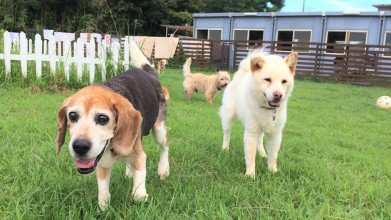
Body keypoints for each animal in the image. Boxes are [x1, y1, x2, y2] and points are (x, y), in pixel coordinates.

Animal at [55, 40, 170, 211]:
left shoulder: (139, 156)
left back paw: (163, 170)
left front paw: (140, 195)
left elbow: (138, 193)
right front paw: (104, 207)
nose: (80, 146)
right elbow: (103, 192)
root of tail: (150, 74)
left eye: (103, 118)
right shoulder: (101, 162)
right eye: (72, 115)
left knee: (164, 146)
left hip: (159, 128)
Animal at [219, 49, 298, 177]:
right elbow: (251, 157)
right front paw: (250, 174)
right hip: (228, 116)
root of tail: (241, 73)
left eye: (284, 81)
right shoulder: (251, 132)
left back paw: (262, 153)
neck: (267, 109)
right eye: (267, 79)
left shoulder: (275, 134)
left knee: (260, 139)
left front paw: (273, 171)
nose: (278, 95)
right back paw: (225, 148)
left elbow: (273, 156)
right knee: (227, 133)